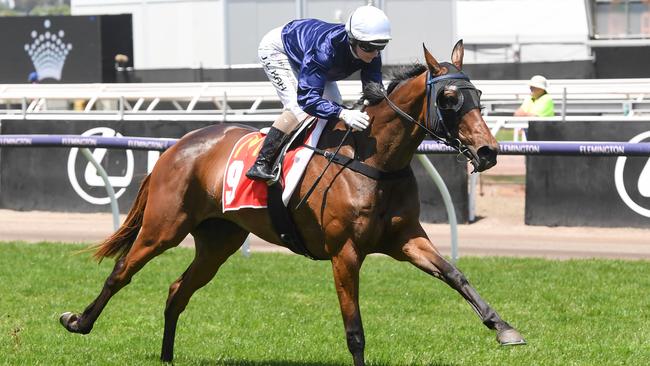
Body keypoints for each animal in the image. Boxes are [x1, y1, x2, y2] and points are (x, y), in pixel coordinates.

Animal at [59, 40, 528, 366]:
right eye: (449, 99)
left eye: (478, 94)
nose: (488, 152)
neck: (374, 160)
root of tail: (179, 145)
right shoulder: (345, 252)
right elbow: (354, 329)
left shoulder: (405, 239)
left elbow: (455, 275)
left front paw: (504, 328)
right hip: (164, 226)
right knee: (122, 271)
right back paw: (79, 322)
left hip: (218, 241)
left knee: (178, 290)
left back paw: (167, 356)